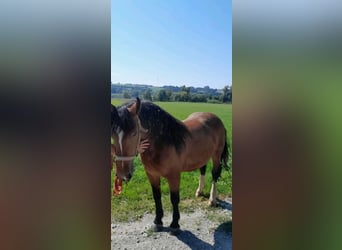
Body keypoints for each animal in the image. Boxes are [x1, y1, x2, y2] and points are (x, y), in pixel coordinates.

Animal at [112, 97, 230, 234]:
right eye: (113, 134)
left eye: (134, 133)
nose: (122, 174)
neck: (163, 142)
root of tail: (216, 118)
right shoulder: (152, 175)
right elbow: (157, 197)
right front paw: (158, 221)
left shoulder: (174, 176)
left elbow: (174, 199)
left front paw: (174, 224)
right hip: (203, 155)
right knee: (202, 169)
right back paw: (199, 192)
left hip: (216, 156)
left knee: (215, 175)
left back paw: (212, 200)